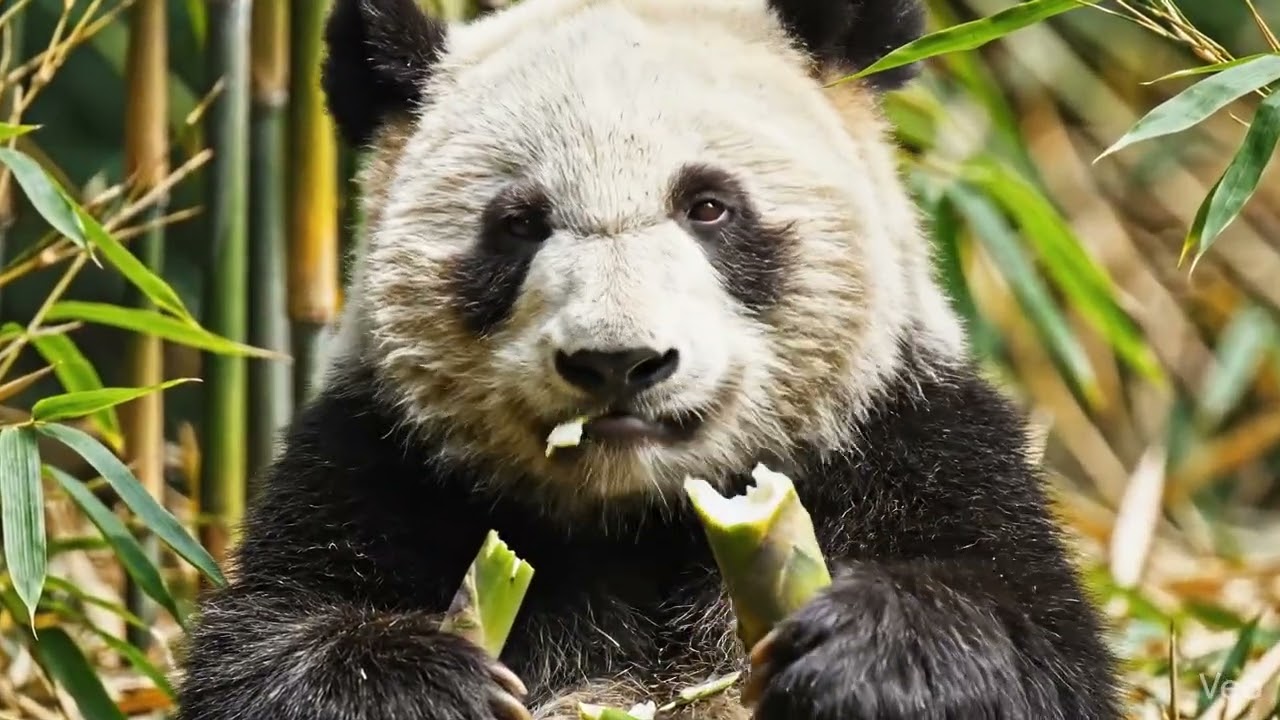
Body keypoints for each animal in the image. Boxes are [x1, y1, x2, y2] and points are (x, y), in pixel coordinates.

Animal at [174, 0, 1126, 718]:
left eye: (709, 206)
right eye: (518, 224)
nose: (617, 362)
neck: (644, 514)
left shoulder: (913, 437)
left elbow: (1040, 645)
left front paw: (867, 652)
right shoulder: (374, 465)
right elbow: (266, 648)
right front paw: (427, 683)